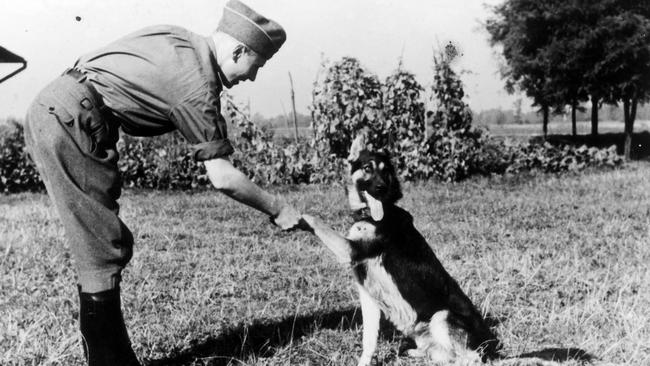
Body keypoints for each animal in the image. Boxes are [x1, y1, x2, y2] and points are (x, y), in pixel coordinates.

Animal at [300, 135, 502, 366]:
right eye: (367, 168)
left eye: (386, 171)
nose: (381, 188)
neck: (372, 215)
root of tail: (493, 347)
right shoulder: (368, 295)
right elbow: (369, 341)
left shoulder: (351, 249)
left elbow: (316, 221)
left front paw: (297, 216)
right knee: (441, 354)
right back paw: (415, 352)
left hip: (441, 316)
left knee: (469, 358)